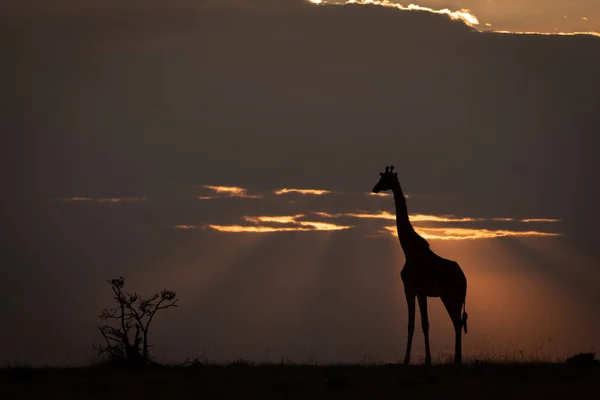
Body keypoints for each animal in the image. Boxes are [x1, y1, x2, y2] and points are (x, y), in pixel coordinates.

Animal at [370, 164, 468, 364]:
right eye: (381, 177)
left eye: (386, 179)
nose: (375, 188)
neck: (408, 250)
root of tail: (465, 280)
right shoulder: (420, 292)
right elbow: (423, 324)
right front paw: (426, 359)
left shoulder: (410, 288)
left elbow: (414, 324)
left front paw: (408, 360)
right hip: (453, 297)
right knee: (458, 323)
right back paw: (457, 359)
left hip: (450, 296)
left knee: (457, 322)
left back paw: (457, 359)